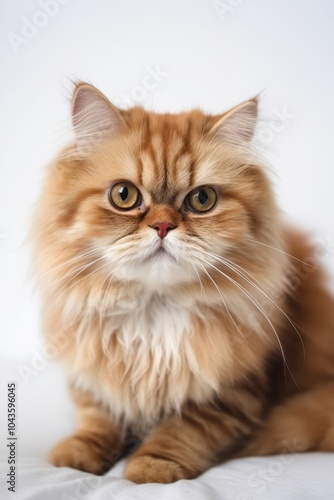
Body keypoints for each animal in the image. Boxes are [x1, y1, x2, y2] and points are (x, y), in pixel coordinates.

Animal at [32, 83, 334, 484]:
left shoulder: (233, 391)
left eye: (202, 199)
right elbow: (98, 414)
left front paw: (151, 468)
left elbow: (183, 430)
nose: (162, 226)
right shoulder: (90, 367)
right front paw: (79, 453)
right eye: (124, 195)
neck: (152, 313)